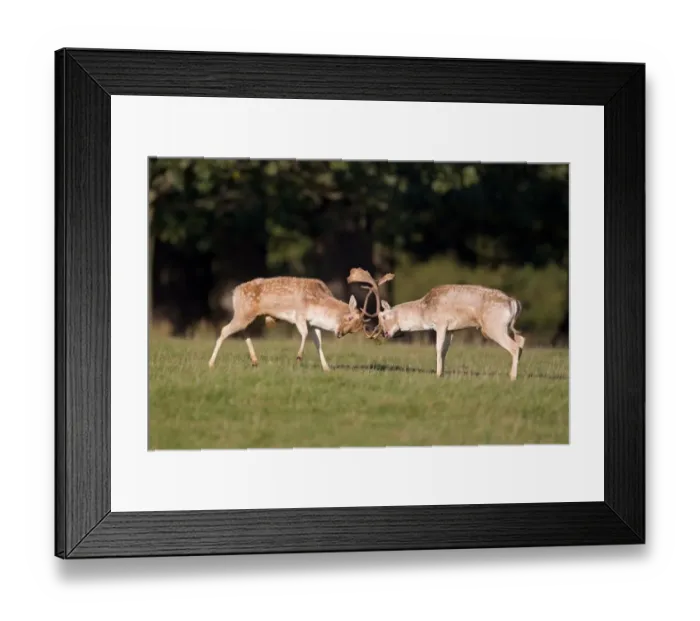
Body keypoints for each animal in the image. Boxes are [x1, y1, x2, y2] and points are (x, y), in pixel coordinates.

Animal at [207, 276, 375, 371]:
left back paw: (255, 361)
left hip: (246, 316)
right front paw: (298, 358)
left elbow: (318, 343)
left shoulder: (313, 324)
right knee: (224, 330)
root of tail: (234, 293)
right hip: (243, 313)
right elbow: (304, 334)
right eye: (349, 318)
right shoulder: (299, 315)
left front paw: (326, 368)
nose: (339, 333)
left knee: (244, 331)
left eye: (355, 329)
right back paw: (210, 364)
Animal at [350, 269, 526, 380]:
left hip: (494, 326)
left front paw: (437, 374)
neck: (425, 311)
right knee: (521, 341)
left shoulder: (441, 324)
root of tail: (513, 302)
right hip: (507, 327)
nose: (385, 333)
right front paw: (442, 373)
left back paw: (513, 377)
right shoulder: (451, 330)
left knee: (515, 347)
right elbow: (445, 351)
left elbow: (438, 349)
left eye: (384, 317)